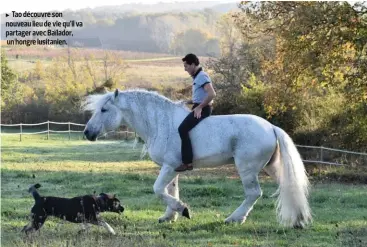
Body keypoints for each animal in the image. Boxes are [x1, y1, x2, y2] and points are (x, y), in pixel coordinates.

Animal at [83, 88, 314, 228]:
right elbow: (171, 190)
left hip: (246, 168)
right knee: (289, 187)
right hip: (271, 167)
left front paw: (182, 210)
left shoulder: (169, 167)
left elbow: (158, 190)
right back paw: (299, 220)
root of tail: (271, 127)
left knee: (253, 194)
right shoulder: (172, 169)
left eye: (104, 109)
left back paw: (234, 218)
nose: (87, 133)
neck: (160, 123)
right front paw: (169, 216)